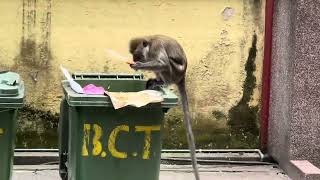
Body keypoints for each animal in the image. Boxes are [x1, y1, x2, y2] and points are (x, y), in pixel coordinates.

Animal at [129, 34, 200, 179]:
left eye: (138, 56)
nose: (135, 60)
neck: (150, 43)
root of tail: (182, 76)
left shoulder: (156, 48)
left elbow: (163, 63)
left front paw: (139, 66)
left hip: (174, 72)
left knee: (166, 65)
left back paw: (163, 82)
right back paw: (157, 81)